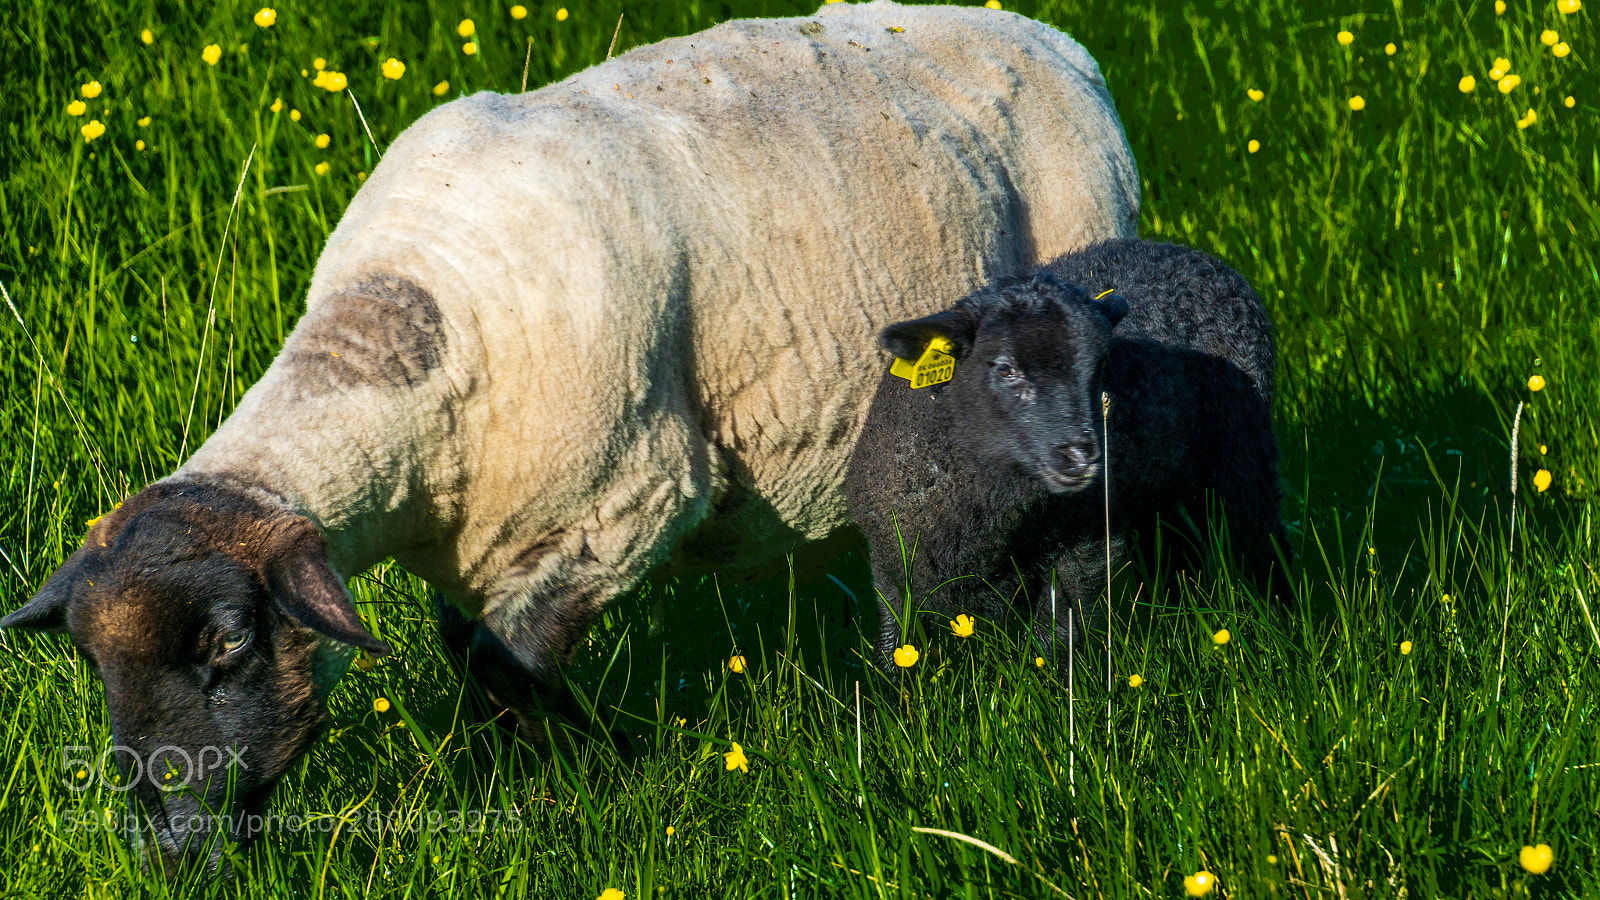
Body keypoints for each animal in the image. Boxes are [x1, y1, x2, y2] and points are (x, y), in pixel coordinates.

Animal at [1, 0, 1138, 869]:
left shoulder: (627, 506)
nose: (167, 852)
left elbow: (509, 663)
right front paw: (532, 770)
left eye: (230, 643)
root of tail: (1047, 36)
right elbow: (474, 657)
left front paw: (594, 766)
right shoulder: (485, 542)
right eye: (92, 662)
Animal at [845, 238, 1285, 676]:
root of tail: (1188, 252)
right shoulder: (890, 565)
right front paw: (888, 690)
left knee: (1259, 540)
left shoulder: (1087, 546)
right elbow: (894, 646)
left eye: (1100, 365)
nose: (1082, 456)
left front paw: (1048, 684)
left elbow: (1054, 635)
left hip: (1242, 456)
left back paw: (1276, 619)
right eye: (1005, 369)